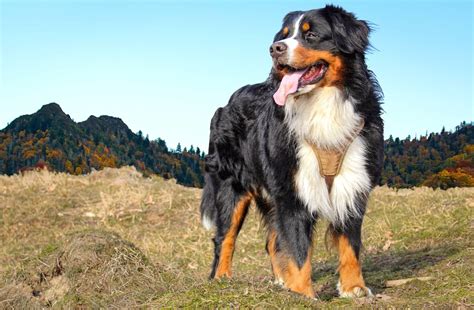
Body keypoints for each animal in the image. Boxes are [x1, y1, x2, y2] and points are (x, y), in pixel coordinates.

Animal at [199, 4, 382, 300]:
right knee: (224, 238)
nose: (275, 48)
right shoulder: (292, 190)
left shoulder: (353, 182)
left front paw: (354, 287)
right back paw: (221, 279)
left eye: (311, 35)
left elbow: (350, 243)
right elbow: (297, 249)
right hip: (232, 186)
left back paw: (281, 283)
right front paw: (304, 295)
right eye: (284, 35)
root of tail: (225, 104)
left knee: (272, 241)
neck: (323, 106)